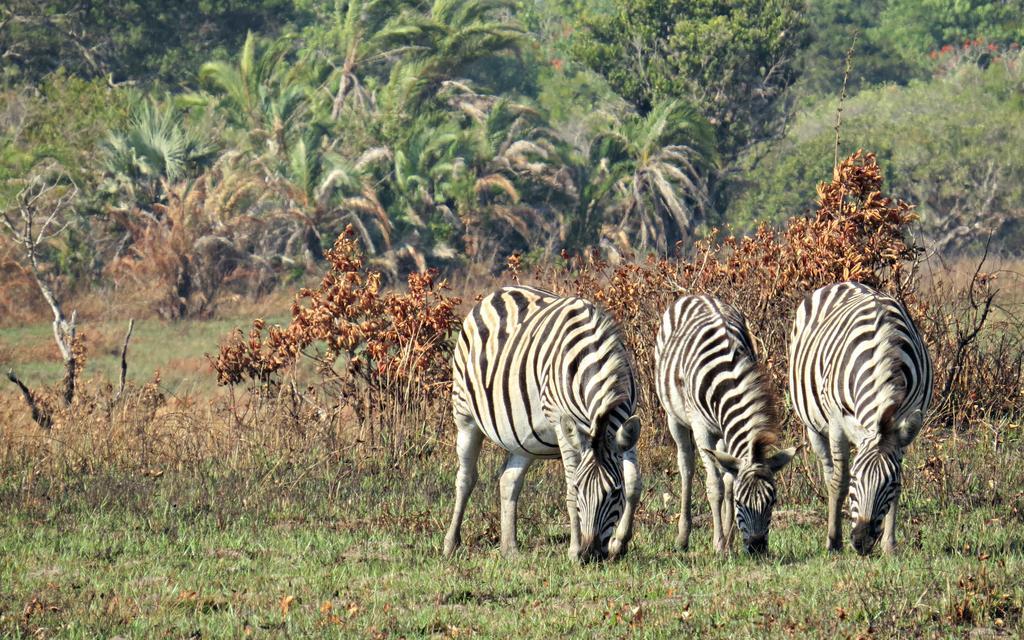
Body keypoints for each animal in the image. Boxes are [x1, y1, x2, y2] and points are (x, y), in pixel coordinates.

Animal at [446, 284, 643, 557]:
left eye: (615, 493)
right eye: (580, 491)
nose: (591, 553)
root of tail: (500, 291)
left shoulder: (626, 421)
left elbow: (634, 483)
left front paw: (619, 543)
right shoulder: (563, 425)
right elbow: (569, 489)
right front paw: (574, 549)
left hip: (524, 436)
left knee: (509, 480)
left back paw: (510, 550)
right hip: (465, 413)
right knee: (465, 478)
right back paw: (451, 543)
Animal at [655, 294, 798, 552]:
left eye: (773, 501)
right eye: (742, 503)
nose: (757, 547)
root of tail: (698, 295)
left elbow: (729, 482)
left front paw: (729, 541)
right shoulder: (701, 427)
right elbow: (715, 486)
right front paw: (719, 544)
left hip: (721, 433)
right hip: (675, 418)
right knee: (686, 466)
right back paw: (682, 538)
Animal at [786, 280, 933, 552]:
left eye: (890, 484)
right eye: (856, 478)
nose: (862, 542)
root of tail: (845, 282)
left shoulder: (905, 422)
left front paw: (889, 545)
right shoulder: (837, 422)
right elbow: (840, 481)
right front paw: (834, 541)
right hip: (814, 426)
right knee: (830, 475)